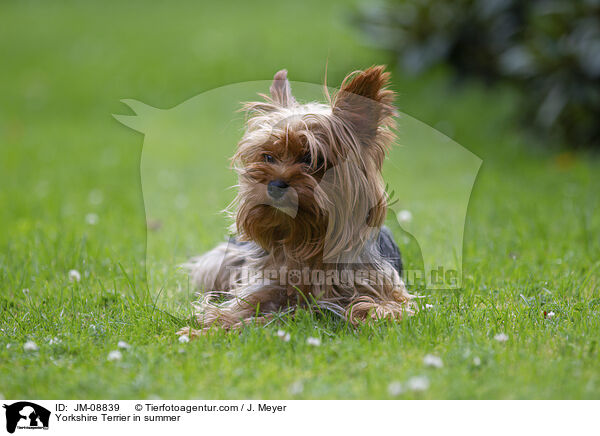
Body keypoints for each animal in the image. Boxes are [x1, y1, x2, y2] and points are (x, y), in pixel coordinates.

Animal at [178, 65, 412, 338]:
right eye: (267, 157)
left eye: (313, 160)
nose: (275, 185)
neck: (305, 237)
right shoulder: (266, 284)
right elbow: (238, 307)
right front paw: (208, 328)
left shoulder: (385, 290)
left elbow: (381, 307)